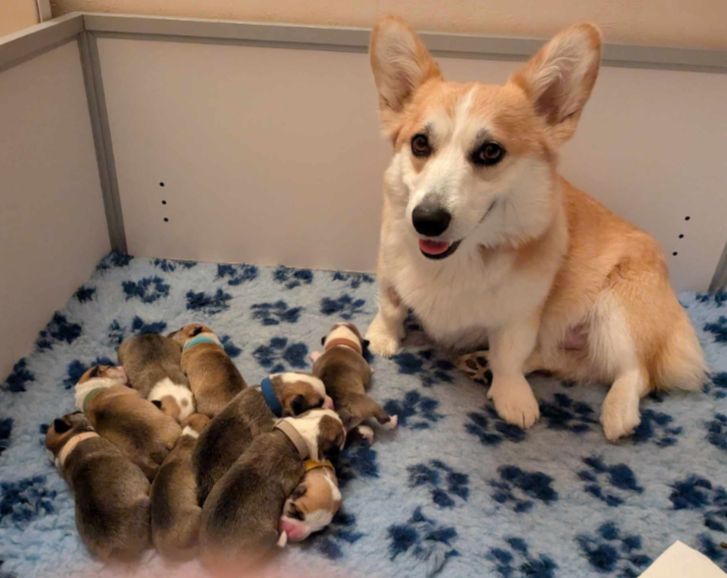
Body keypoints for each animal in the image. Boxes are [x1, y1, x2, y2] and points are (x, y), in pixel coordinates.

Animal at [366, 18, 708, 440]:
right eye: (419, 143)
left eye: (490, 151)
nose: (426, 219)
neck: (458, 260)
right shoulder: (388, 268)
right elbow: (391, 307)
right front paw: (382, 338)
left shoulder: (521, 313)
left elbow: (510, 355)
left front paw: (513, 398)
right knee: (561, 359)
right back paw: (482, 362)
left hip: (617, 313)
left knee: (636, 372)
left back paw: (617, 413)